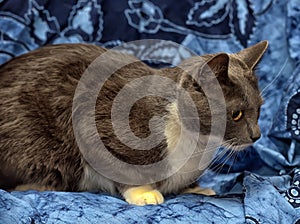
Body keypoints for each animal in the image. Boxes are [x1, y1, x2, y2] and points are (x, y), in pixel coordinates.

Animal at [0, 39, 268, 205]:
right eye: (236, 114)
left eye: (259, 108)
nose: (257, 135)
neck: (197, 144)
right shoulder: (96, 119)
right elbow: (125, 165)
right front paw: (144, 192)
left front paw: (194, 188)